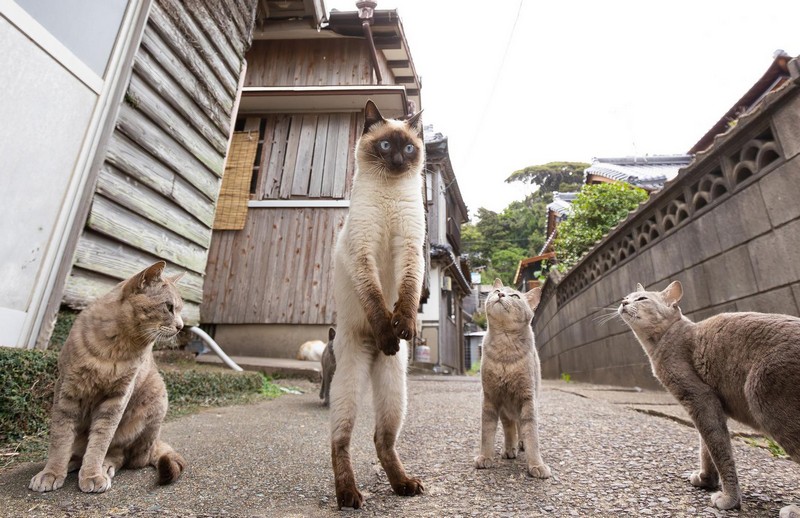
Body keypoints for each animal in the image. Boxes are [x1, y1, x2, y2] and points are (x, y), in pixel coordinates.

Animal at [29, 264, 186, 496]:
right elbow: (60, 438)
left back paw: (105, 466)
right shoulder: (67, 391)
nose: (181, 326)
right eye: (169, 307)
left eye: (180, 310)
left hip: (155, 401)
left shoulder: (117, 398)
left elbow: (101, 441)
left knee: (123, 455)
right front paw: (52, 472)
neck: (116, 348)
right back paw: (72, 462)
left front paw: (92, 474)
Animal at [476, 282, 552, 482]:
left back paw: (520, 443)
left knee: (520, 427)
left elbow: (532, 434)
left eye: (516, 296)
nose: (501, 294)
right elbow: (487, 433)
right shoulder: (490, 398)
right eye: (497, 291)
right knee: (510, 427)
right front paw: (485, 457)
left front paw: (536, 465)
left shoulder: (527, 398)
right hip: (505, 409)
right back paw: (510, 448)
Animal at [620, 282, 800, 516]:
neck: (662, 340)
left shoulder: (700, 397)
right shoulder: (712, 405)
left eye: (641, 298)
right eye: (626, 297)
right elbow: (706, 446)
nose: (623, 302)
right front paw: (706, 479)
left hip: (766, 400)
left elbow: (719, 450)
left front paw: (729, 499)